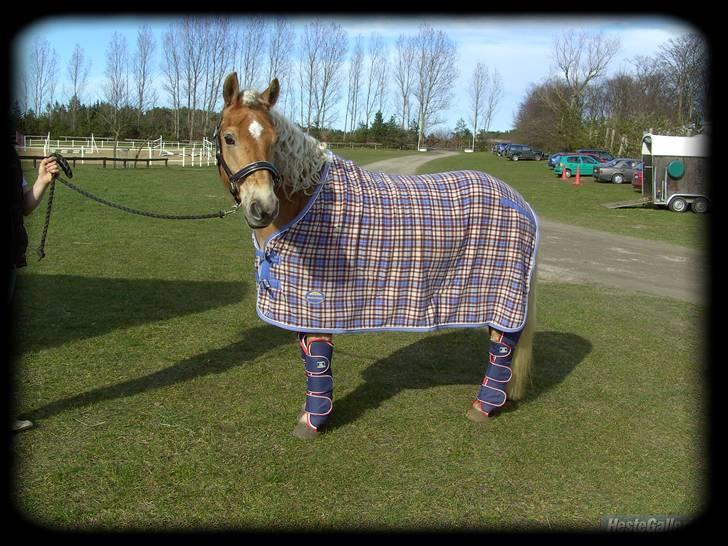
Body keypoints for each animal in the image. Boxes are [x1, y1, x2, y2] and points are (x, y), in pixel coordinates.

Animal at [213, 73, 536, 438]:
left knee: (502, 346)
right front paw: (312, 414)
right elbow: (309, 355)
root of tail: (519, 201)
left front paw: (313, 421)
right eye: (229, 138)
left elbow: (318, 358)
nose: (263, 207)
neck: (306, 200)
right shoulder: (299, 306)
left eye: (273, 139)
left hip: (504, 293)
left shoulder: (318, 301)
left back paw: (484, 406)